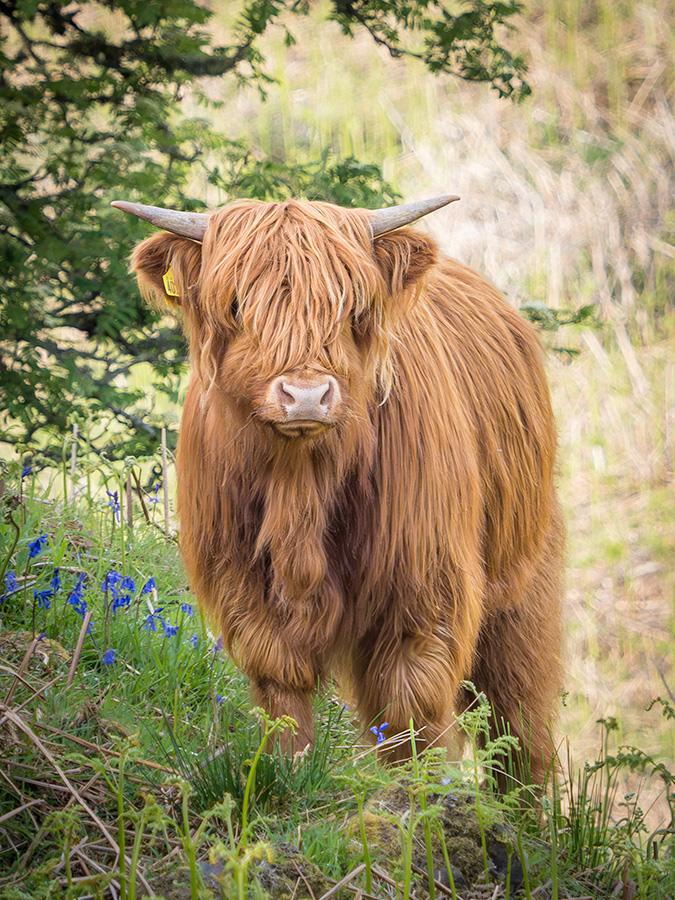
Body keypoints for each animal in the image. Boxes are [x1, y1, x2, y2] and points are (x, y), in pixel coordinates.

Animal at [114, 195, 563, 785]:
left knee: (518, 720)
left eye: (351, 308)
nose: (305, 395)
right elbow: (281, 685)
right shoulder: (240, 580)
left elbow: (410, 701)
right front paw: (289, 770)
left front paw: (418, 794)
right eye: (236, 304)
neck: (300, 484)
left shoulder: (425, 584)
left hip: (523, 585)